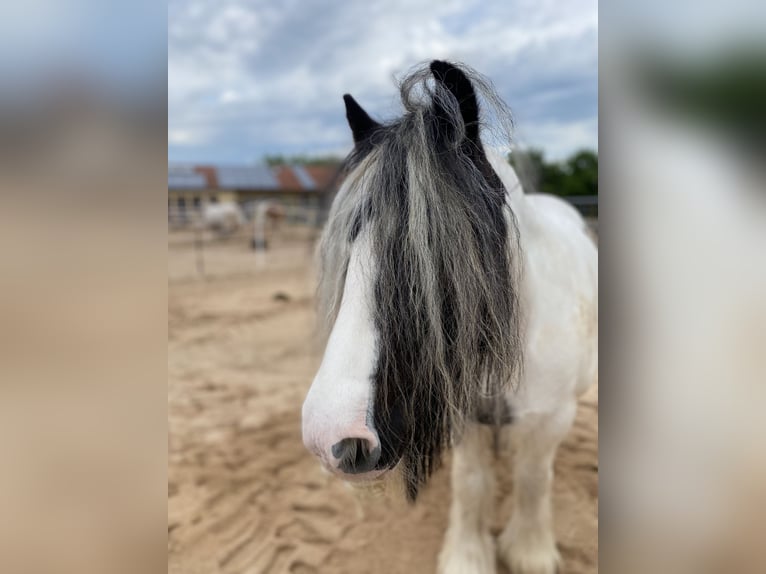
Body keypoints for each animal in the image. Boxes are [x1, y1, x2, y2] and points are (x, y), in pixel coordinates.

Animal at [301, 60, 597, 574]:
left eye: (441, 249)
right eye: (348, 246)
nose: (329, 436)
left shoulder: (550, 417)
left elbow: (533, 477)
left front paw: (530, 551)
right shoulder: (465, 417)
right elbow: (472, 484)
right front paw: (467, 555)